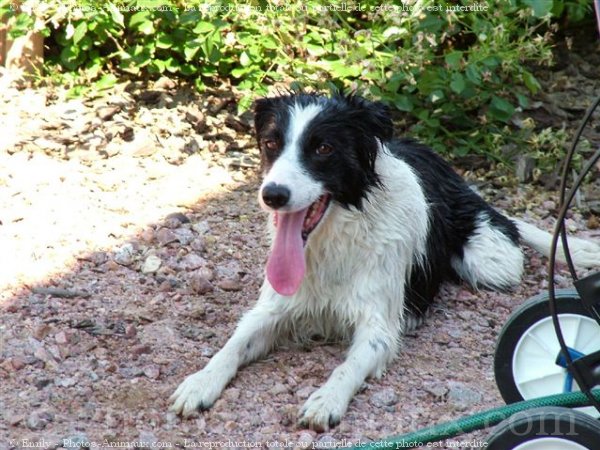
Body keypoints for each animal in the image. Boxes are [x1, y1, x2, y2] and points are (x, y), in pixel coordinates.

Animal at [169, 90, 600, 428]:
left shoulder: (377, 326)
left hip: (492, 261)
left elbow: (349, 365)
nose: (273, 194)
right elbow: (233, 344)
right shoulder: (273, 307)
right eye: (272, 143)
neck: (333, 243)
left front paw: (326, 398)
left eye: (323, 148)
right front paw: (200, 382)